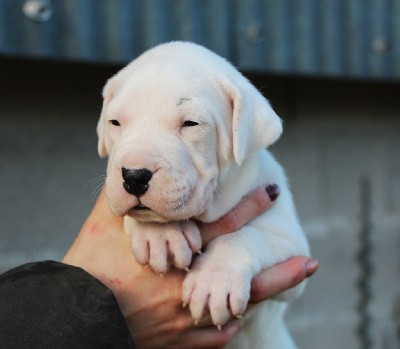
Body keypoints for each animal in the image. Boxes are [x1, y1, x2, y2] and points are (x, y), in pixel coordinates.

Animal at [97, 42, 310, 346]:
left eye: (190, 123)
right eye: (114, 122)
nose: (134, 176)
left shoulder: (291, 246)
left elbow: (246, 236)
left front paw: (215, 281)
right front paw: (161, 235)